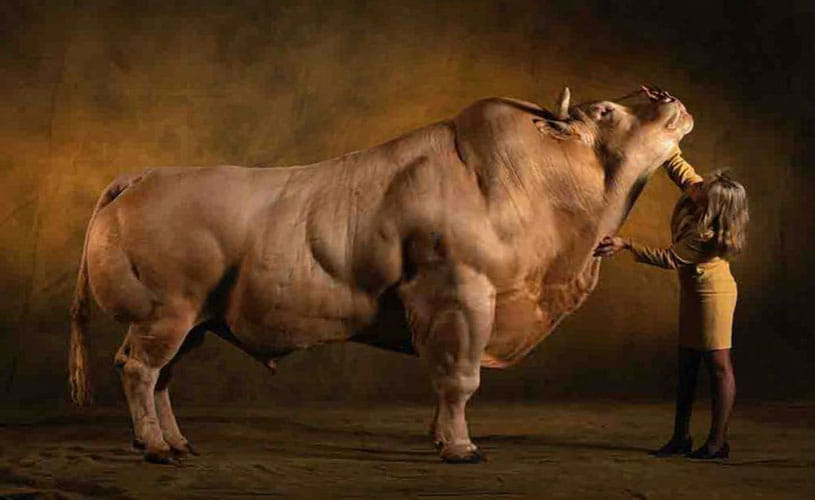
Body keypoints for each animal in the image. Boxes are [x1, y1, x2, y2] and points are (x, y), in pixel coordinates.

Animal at [68, 86, 694, 464]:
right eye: (608, 109)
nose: (668, 96)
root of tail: (143, 175)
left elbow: (443, 380)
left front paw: (440, 437)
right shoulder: (461, 296)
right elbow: (459, 378)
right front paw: (460, 448)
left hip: (192, 320)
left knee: (161, 377)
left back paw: (175, 441)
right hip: (165, 312)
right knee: (139, 370)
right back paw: (154, 446)